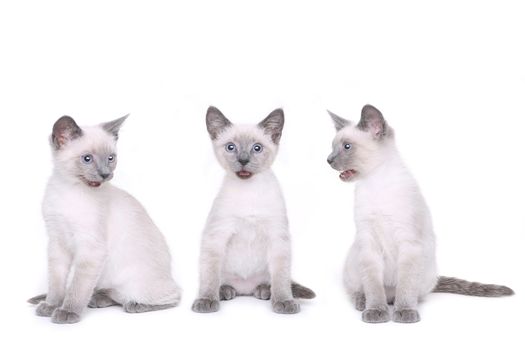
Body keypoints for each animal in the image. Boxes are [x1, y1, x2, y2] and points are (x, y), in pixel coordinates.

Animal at [28, 116, 181, 324]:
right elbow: (57, 283)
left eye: (111, 158)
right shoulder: (57, 242)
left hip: (136, 283)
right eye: (87, 159)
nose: (105, 174)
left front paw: (67, 312)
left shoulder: (91, 249)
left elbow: (77, 288)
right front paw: (51, 305)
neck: (69, 189)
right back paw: (90, 299)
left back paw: (133, 304)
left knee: (173, 296)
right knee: (111, 294)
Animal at [192, 106, 316, 314]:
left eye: (257, 148)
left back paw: (264, 291)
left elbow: (281, 280)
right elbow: (209, 278)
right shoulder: (216, 236)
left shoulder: (277, 238)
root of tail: (245, 289)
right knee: (218, 279)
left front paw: (284, 301)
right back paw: (224, 291)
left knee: (273, 281)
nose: (243, 160)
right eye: (231, 147)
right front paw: (206, 300)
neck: (248, 191)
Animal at [326, 105, 512, 324]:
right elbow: (373, 287)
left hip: (427, 271)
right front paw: (376, 311)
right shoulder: (369, 244)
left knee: (409, 293)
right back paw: (364, 303)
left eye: (347, 147)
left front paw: (405, 311)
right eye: (332, 147)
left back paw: (403, 303)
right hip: (355, 261)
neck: (376, 183)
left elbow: (406, 286)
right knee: (362, 290)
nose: (328, 160)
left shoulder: (409, 244)